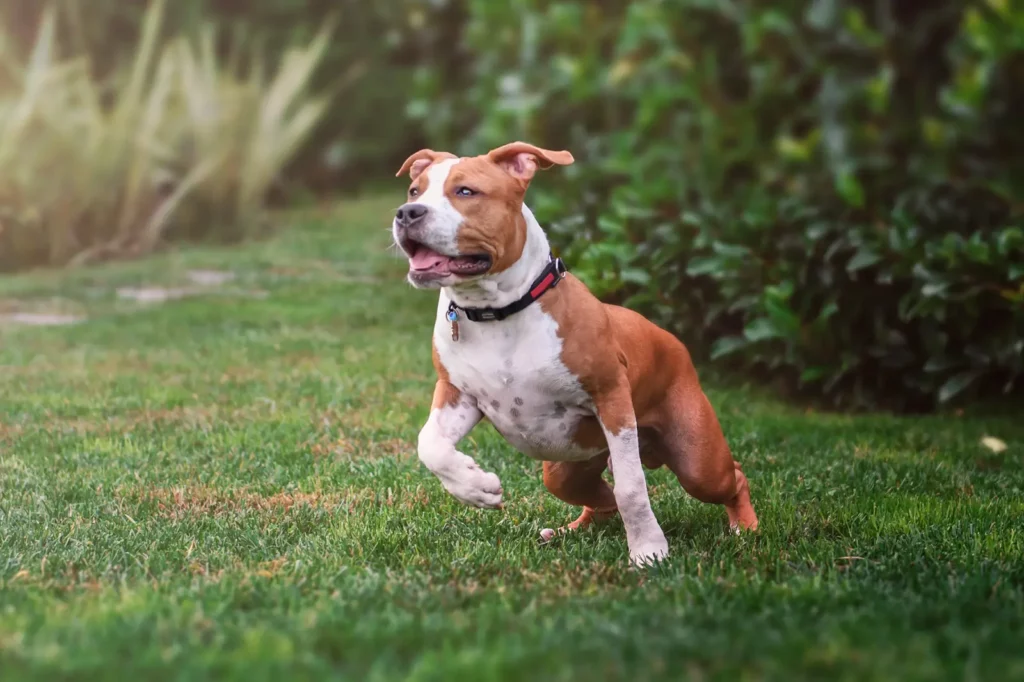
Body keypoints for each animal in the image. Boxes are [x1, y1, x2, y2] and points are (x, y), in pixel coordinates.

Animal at [393, 139, 761, 561]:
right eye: (414, 191)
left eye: (466, 192)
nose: (407, 213)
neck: (498, 312)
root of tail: (671, 339)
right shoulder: (457, 394)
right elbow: (430, 444)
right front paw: (477, 488)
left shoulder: (611, 397)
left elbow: (632, 488)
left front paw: (649, 551)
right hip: (565, 469)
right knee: (600, 498)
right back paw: (569, 531)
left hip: (697, 460)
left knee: (730, 476)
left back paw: (745, 527)